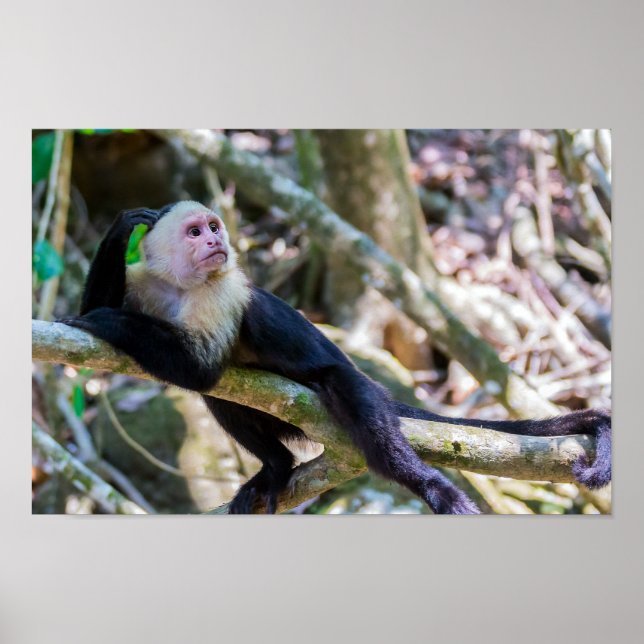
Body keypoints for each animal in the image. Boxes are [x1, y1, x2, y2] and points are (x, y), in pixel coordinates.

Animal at [57, 201, 611, 514]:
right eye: (196, 232)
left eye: (213, 227)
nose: (215, 239)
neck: (180, 287)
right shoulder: (145, 283)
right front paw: (124, 228)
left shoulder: (222, 289)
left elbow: (201, 368)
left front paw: (105, 321)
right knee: (225, 400)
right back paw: (277, 467)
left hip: (353, 385)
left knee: (354, 401)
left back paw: (433, 487)